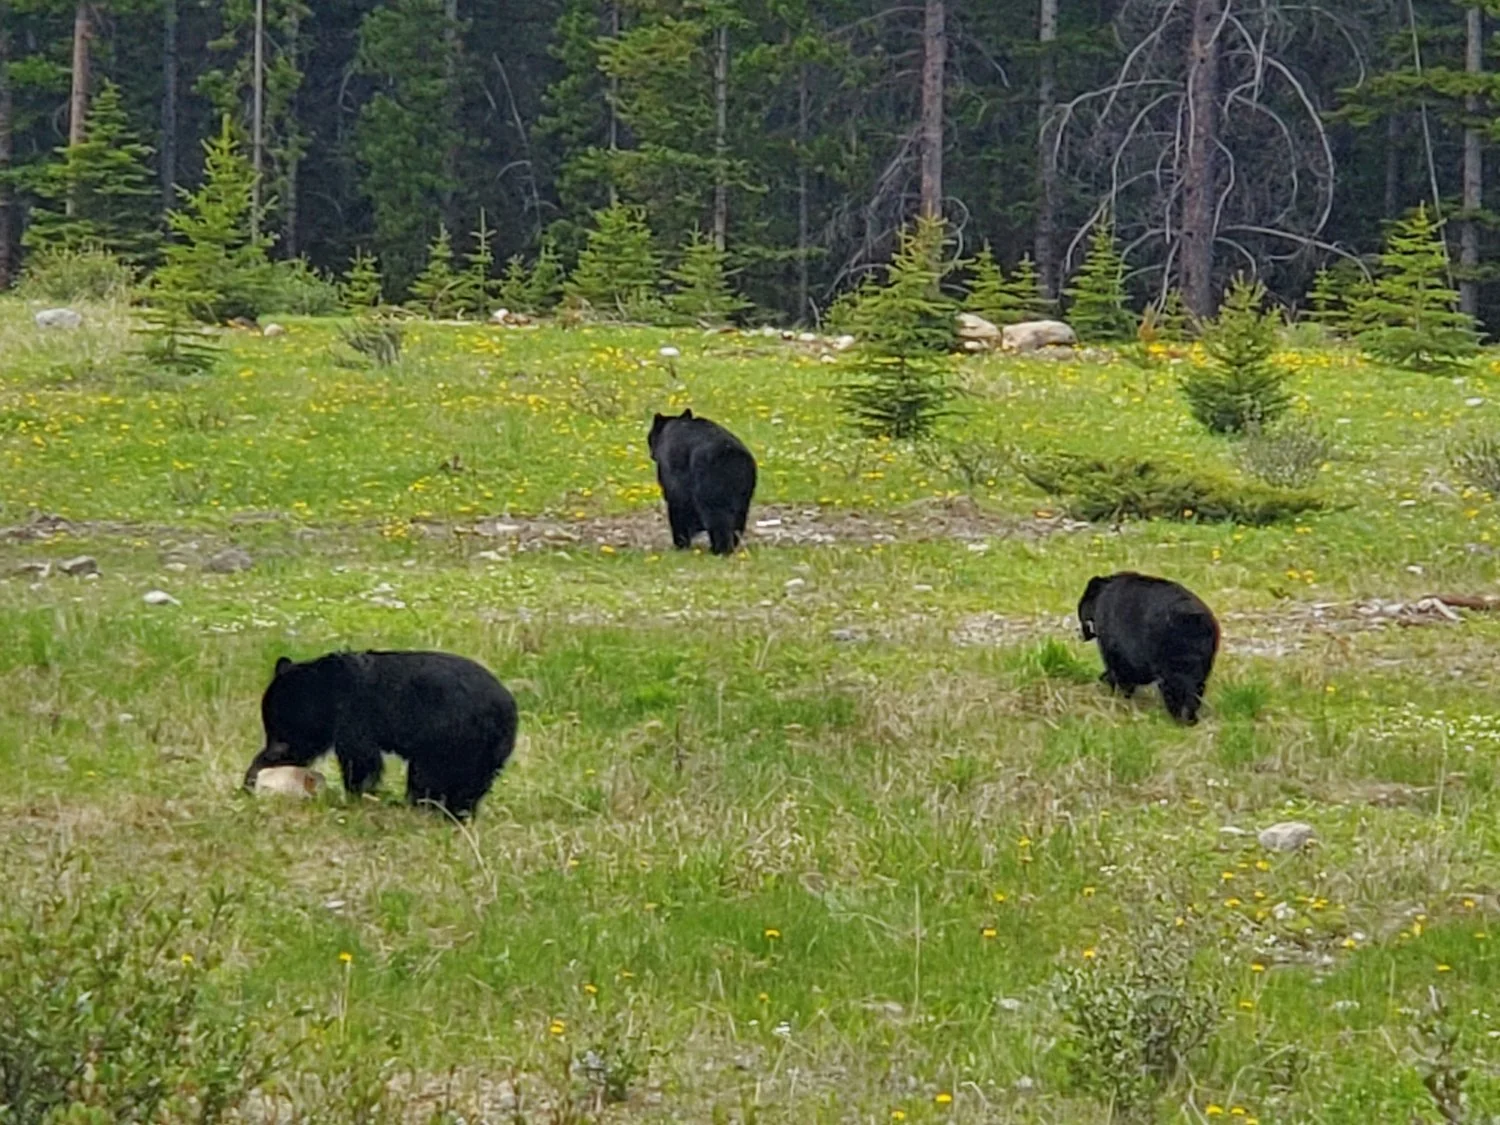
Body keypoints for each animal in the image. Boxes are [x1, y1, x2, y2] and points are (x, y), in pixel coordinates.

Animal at [242, 650, 518, 818]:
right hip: (483, 752)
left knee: (429, 777)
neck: (331, 689)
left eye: (279, 722)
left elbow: (360, 760)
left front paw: (353, 797)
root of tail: (508, 709)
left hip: (454, 740)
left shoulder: (355, 716)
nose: (274, 750)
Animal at [647, 409, 757, 556]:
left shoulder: (673, 478)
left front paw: (680, 544)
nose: (651, 455)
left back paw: (720, 549)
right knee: (739, 519)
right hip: (745, 491)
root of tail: (733, 455)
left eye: (649, 438)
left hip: (710, 484)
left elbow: (678, 509)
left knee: (717, 518)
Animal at [1077, 571, 1220, 724]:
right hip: (1206, 654)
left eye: (1080, 610)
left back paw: (1178, 716)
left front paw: (1114, 688)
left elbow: (1120, 667)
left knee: (1176, 684)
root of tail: (1197, 621)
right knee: (1197, 685)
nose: (1079, 634)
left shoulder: (1113, 633)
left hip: (1172, 652)